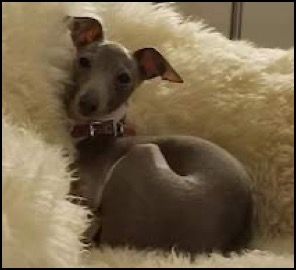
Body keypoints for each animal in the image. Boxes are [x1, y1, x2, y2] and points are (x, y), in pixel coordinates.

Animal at [64, 15, 252, 255]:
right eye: (84, 61)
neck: (97, 130)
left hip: (144, 152)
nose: (87, 104)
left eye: (124, 78)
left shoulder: (88, 193)